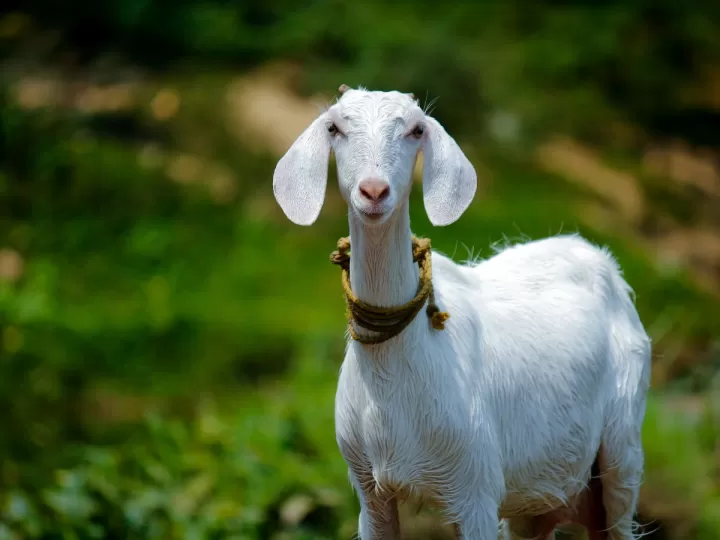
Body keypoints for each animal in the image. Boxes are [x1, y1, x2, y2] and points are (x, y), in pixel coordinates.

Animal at [272, 86, 651, 540]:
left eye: (416, 129)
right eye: (334, 127)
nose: (374, 191)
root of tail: (599, 257)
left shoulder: (476, 488)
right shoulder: (368, 489)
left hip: (623, 449)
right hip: (538, 499)